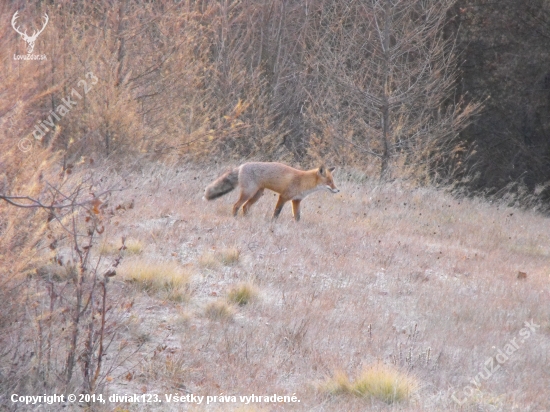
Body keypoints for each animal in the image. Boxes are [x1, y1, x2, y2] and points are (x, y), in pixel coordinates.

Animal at [204, 162, 340, 222]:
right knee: (236, 205)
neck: (303, 182)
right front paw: (272, 223)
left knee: (245, 207)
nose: (338, 190)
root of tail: (242, 165)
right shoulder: (283, 196)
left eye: (333, 181)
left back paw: (247, 219)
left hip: (257, 194)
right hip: (249, 192)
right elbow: (276, 213)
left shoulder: (296, 200)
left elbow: (298, 217)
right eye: (329, 182)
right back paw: (235, 218)